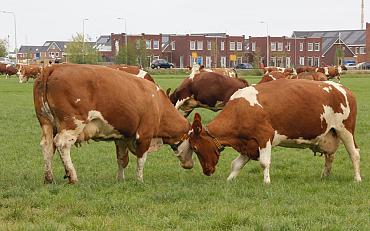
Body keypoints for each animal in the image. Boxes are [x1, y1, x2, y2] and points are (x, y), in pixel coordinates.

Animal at [33, 63, 195, 184]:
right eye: (194, 147)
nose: (190, 165)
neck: (157, 103)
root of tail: (53, 68)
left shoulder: (122, 137)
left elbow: (122, 159)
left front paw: (120, 180)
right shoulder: (144, 135)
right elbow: (141, 160)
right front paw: (139, 180)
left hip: (47, 123)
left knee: (47, 146)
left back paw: (49, 178)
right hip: (73, 123)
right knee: (62, 144)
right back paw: (72, 177)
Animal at [188, 79, 362, 184]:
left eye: (195, 148)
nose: (207, 171)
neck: (240, 110)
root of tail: (344, 89)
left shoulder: (264, 137)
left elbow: (264, 163)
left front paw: (266, 182)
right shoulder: (249, 144)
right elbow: (236, 164)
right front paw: (229, 180)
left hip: (345, 130)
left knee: (354, 154)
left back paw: (357, 178)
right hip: (330, 134)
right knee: (329, 156)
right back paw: (325, 176)